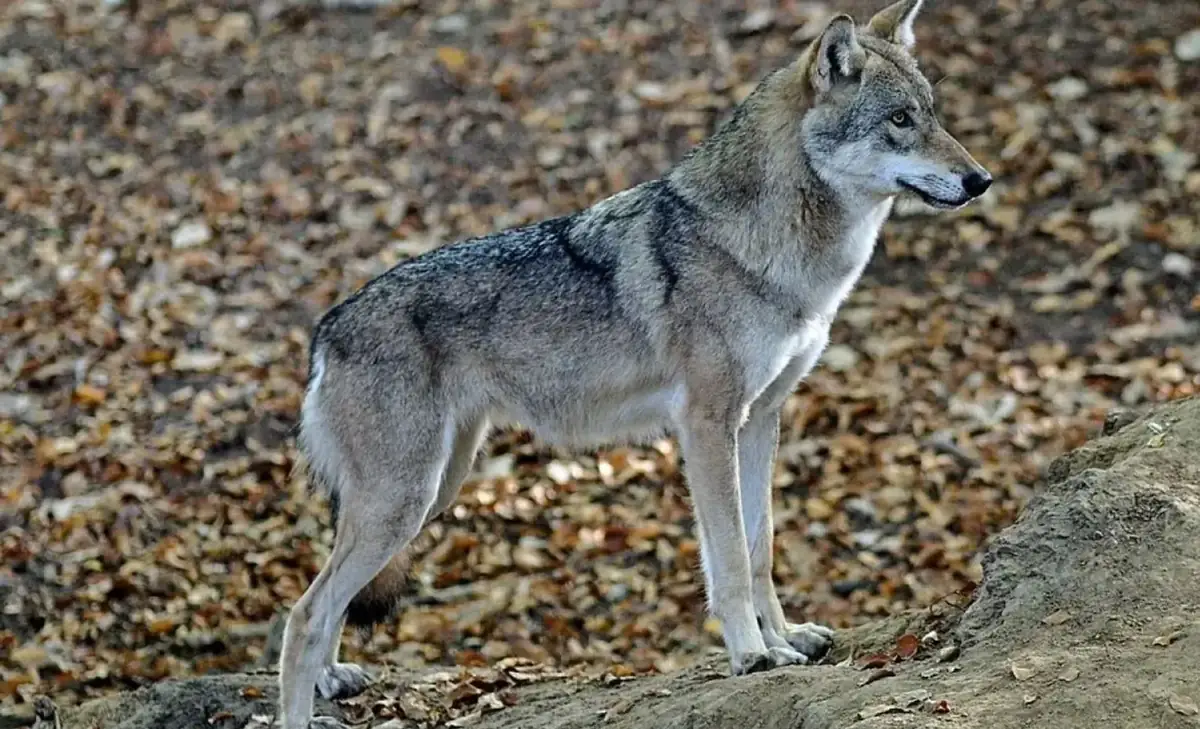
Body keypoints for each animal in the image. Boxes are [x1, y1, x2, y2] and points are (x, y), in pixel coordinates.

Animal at [277, 0, 992, 725]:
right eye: (898, 120)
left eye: (931, 113)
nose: (980, 179)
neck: (781, 259)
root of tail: (326, 328)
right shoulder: (706, 425)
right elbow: (730, 560)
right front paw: (753, 654)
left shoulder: (761, 419)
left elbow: (760, 549)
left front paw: (787, 637)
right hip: (407, 498)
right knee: (303, 613)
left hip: (430, 491)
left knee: (328, 600)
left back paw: (334, 679)